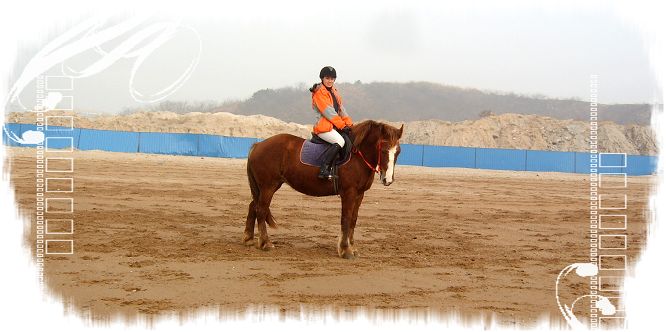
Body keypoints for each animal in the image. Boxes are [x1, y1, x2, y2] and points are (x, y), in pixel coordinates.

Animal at [243, 120, 402, 260]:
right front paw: (345, 250)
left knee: (253, 206)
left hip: (263, 188)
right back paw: (265, 243)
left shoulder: (359, 194)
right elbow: (346, 219)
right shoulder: (349, 193)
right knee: (261, 210)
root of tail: (258, 144)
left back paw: (248, 239)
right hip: (268, 187)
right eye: (384, 150)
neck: (357, 156)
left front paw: (352, 247)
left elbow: (353, 220)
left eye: (398, 152)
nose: (388, 180)